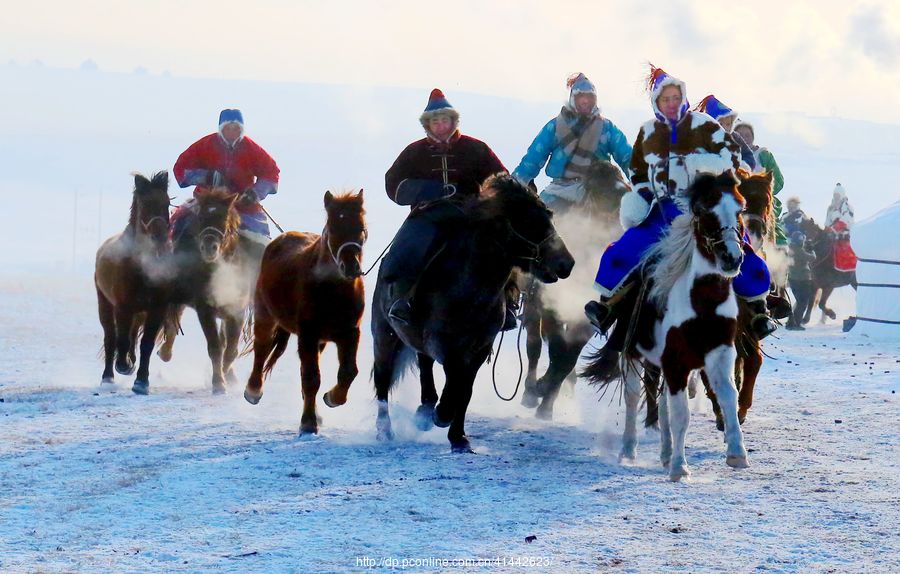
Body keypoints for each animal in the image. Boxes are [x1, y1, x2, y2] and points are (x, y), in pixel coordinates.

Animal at [95, 173, 172, 394]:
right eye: (145, 204)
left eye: (167, 203)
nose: (160, 237)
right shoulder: (123, 307)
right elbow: (120, 339)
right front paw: (123, 366)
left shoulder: (156, 309)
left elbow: (146, 343)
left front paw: (141, 382)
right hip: (105, 304)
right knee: (110, 336)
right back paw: (108, 377)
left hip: (140, 312)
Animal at [243, 190, 366, 436]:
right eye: (333, 227)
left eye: (360, 227)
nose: (351, 267)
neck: (332, 290)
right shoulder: (308, 333)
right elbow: (311, 378)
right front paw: (308, 423)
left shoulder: (349, 332)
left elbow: (348, 371)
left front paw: (332, 398)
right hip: (265, 314)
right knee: (262, 348)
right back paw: (253, 390)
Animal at [372, 176, 576, 454]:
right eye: (527, 221)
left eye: (549, 215)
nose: (566, 263)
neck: (469, 289)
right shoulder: (446, 346)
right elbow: (455, 383)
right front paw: (442, 416)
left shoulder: (479, 349)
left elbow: (464, 391)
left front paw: (458, 437)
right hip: (384, 336)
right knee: (383, 380)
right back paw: (386, 430)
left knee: (424, 365)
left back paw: (424, 411)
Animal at [580, 174, 748, 482]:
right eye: (704, 211)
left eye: (740, 209)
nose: (732, 257)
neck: (701, 306)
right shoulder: (676, 361)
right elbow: (681, 415)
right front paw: (680, 468)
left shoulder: (719, 355)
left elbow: (728, 397)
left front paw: (736, 453)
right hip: (633, 355)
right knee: (634, 397)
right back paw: (629, 451)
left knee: (665, 405)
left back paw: (667, 453)